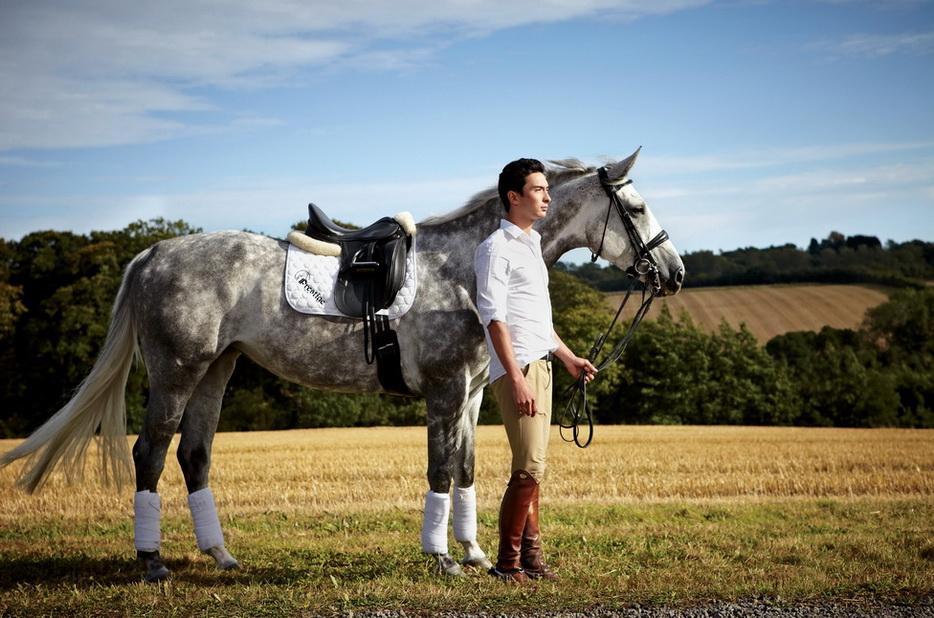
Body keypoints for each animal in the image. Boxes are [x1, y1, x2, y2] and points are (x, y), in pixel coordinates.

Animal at [0, 149, 684, 582]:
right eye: (637, 209)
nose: (674, 273)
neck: (464, 268)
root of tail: (153, 252)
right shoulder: (443, 393)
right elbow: (440, 470)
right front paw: (442, 559)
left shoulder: (468, 396)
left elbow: (465, 469)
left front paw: (475, 555)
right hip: (177, 370)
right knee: (150, 453)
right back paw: (153, 563)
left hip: (218, 369)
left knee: (194, 453)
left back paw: (221, 556)